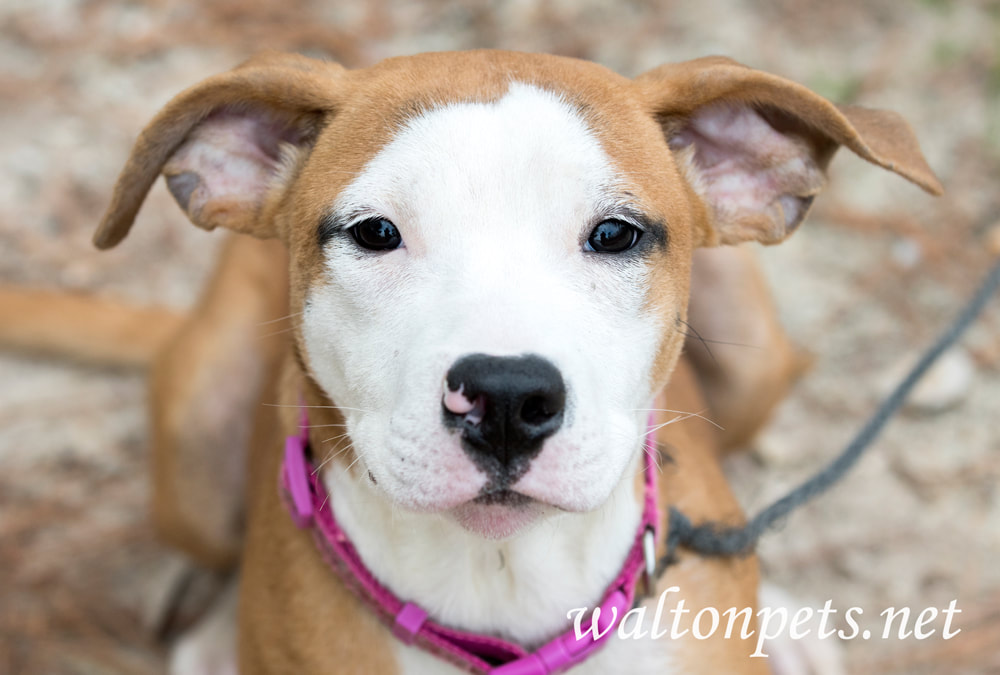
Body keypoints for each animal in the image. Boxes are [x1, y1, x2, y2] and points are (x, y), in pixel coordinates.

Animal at [0, 50, 940, 672]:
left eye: (616, 234)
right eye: (375, 232)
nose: (506, 399)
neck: (502, 582)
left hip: (753, 351)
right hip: (197, 434)